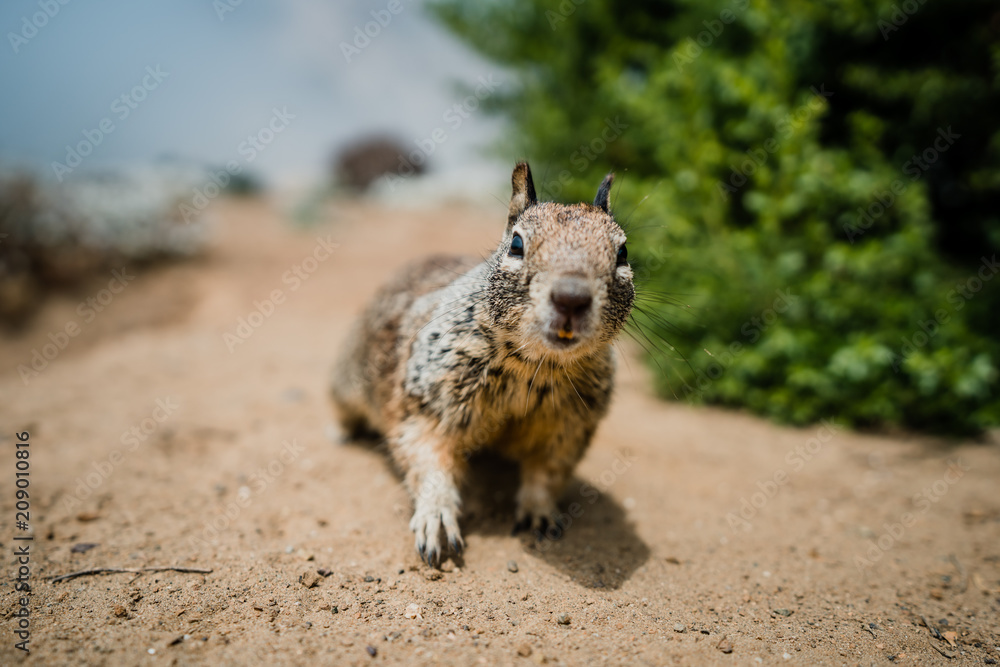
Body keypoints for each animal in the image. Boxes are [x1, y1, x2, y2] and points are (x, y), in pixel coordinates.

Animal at [331, 162, 635, 565]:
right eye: (517, 245)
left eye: (623, 252)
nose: (571, 298)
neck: (536, 366)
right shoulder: (428, 401)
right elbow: (428, 458)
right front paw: (437, 519)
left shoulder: (569, 427)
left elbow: (548, 472)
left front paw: (540, 514)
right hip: (347, 379)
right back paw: (342, 431)